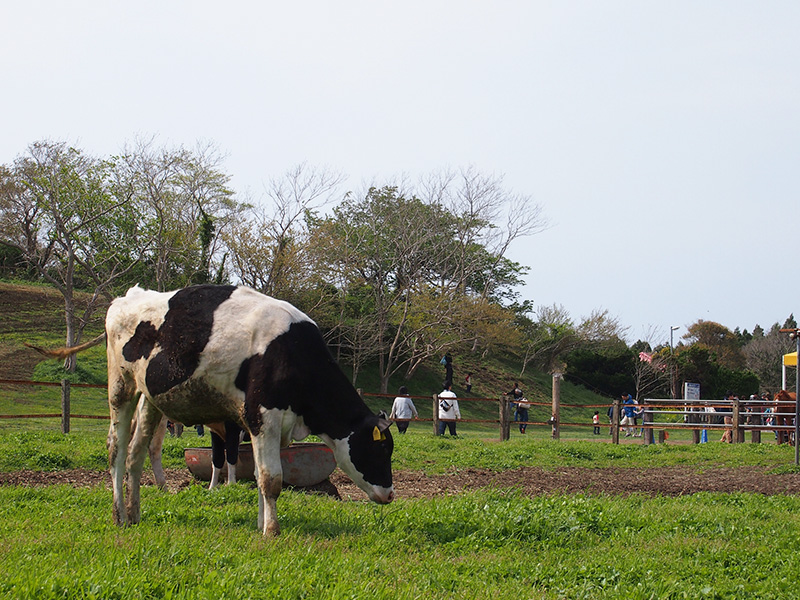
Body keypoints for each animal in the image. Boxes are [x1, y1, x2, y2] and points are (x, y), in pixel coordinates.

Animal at [33, 286, 394, 536]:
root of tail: (126, 298)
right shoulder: (262, 415)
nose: (390, 494)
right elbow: (271, 479)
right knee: (116, 450)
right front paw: (272, 530)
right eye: (378, 449)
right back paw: (119, 515)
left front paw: (261, 523)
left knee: (137, 453)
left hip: (150, 399)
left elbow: (262, 475)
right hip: (121, 387)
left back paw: (135, 513)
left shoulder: (270, 425)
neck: (291, 351)